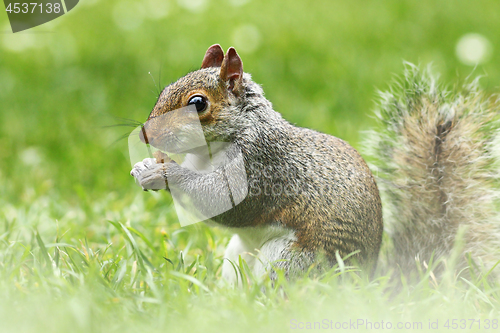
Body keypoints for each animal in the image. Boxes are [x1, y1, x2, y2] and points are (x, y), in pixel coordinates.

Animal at [130, 44, 500, 282]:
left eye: (198, 103)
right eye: (165, 89)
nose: (146, 134)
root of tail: (369, 283)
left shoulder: (263, 166)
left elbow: (227, 202)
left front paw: (165, 172)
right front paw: (144, 167)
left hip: (291, 261)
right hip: (238, 256)